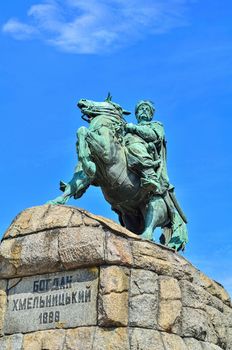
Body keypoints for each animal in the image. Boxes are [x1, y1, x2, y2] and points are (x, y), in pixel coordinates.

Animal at [49, 97, 188, 250]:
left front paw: (87, 162)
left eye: (112, 104)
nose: (82, 100)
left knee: (152, 222)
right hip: (130, 215)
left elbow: (83, 131)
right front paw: (55, 201)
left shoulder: (106, 153)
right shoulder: (86, 176)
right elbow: (73, 185)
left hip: (156, 203)